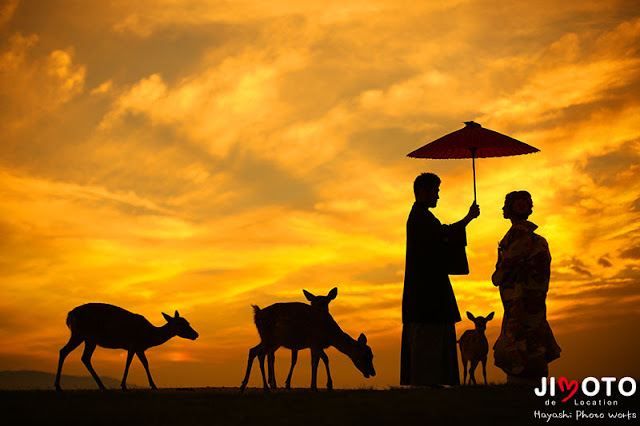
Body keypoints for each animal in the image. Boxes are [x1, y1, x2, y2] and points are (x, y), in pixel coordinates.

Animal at [55, 302, 198, 390]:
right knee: (79, 356)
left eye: (188, 322)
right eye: (181, 324)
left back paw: (60, 386)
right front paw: (123, 385)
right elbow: (128, 363)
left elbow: (146, 363)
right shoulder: (133, 344)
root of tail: (70, 314)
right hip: (85, 336)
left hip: (83, 337)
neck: (149, 336)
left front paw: (153, 385)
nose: (196, 334)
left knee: (70, 353)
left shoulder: (140, 348)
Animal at [239, 298, 376, 392]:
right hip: (269, 338)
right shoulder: (315, 342)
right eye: (365, 355)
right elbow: (325, 359)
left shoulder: (314, 346)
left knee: (253, 351)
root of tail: (257, 314)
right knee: (261, 354)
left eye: (372, 355)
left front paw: (314, 386)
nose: (373, 372)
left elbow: (315, 362)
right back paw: (265, 388)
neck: (329, 335)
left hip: (270, 340)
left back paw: (243, 385)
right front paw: (329, 385)